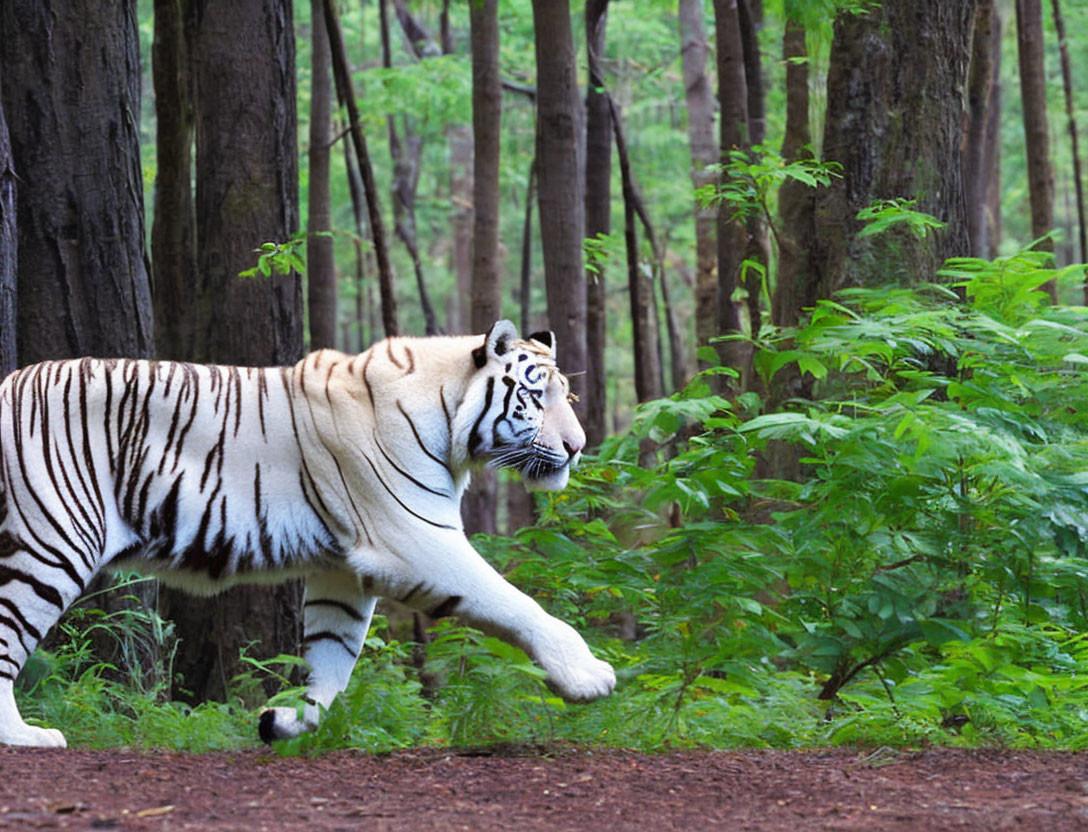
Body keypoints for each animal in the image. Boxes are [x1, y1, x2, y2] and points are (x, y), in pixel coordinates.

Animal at [0, 319, 613, 748]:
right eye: (535, 396)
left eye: (567, 396)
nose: (577, 447)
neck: (450, 420)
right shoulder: (415, 537)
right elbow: (512, 601)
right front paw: (589, 677)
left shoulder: (343, 569)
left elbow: (333, 656)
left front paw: (285, 720)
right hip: (54, 539)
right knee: (9, 631)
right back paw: (25, 736)